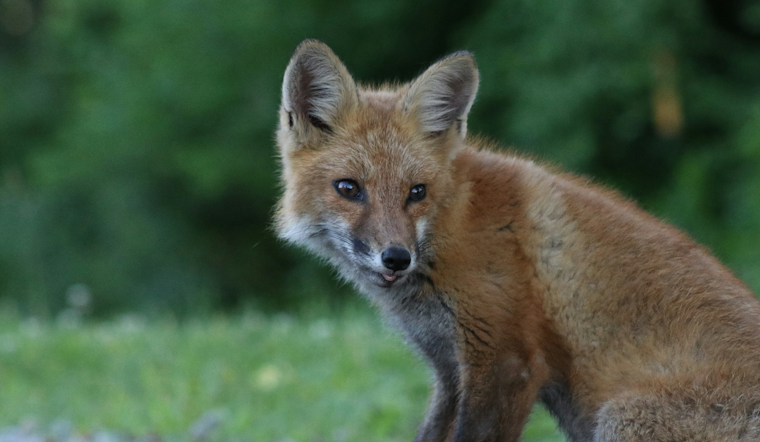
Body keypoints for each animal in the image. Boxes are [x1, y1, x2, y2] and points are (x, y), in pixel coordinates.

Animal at [273, 39, 760, 442]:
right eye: (349, 188)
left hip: (621, 417)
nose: (396, 258)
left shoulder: (509, 362)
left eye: (417, 192)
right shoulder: (451, 371)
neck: (453, 227)